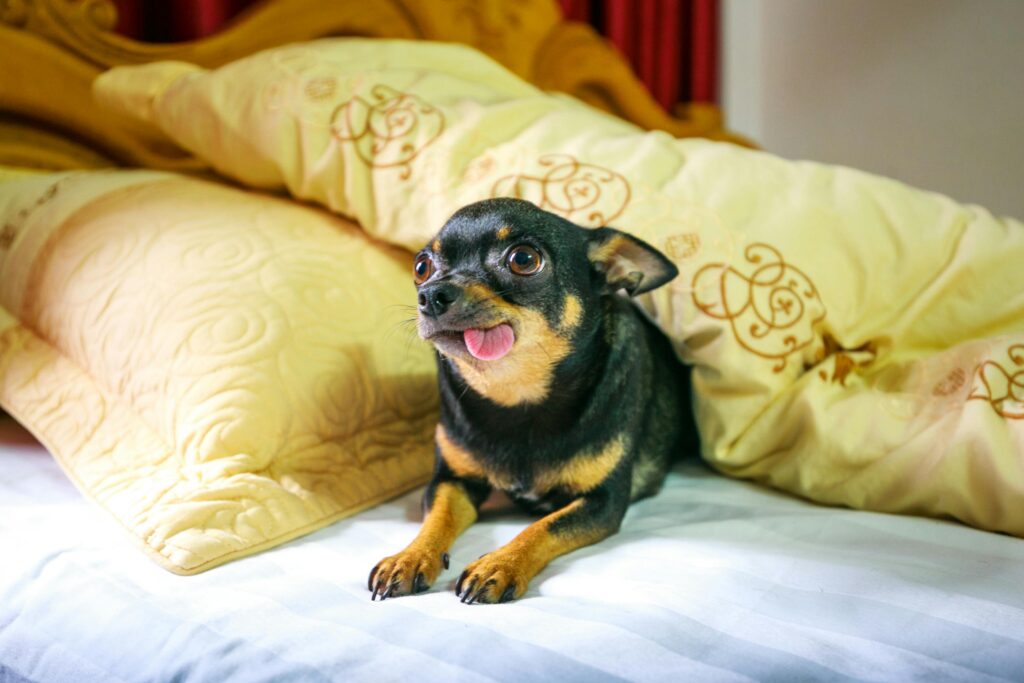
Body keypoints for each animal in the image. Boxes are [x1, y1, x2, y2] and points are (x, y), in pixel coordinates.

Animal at [368, 196, 696, 602]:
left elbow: (543, 527)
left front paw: (500, 564)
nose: (429, 294)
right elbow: (437, 519)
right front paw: (410, 556)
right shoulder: (451, 481)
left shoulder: (604, 501)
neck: (518, 397)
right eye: (421, 267)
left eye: (523, 259)